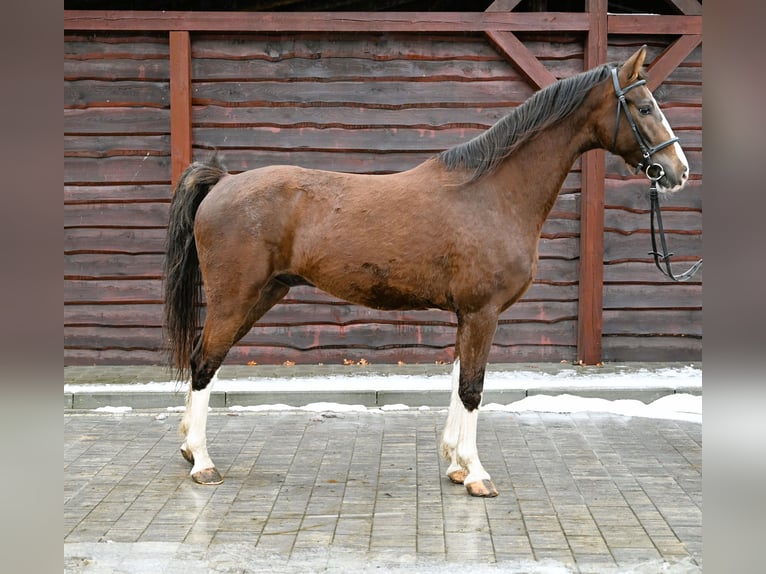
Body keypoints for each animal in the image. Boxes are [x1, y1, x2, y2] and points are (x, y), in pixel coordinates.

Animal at [163, 46, 689, 496]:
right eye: (644, 107)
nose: (678, 170)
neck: (492, 193)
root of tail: (223, 182)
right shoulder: (483, 313)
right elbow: (473, 388)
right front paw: (476, 474)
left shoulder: (468, 315)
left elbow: (458, 382)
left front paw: (455, 464)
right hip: (236, 298)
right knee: (204, 363)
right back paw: (203, 462)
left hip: (264, 294)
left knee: (204, 359)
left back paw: (188, 449)